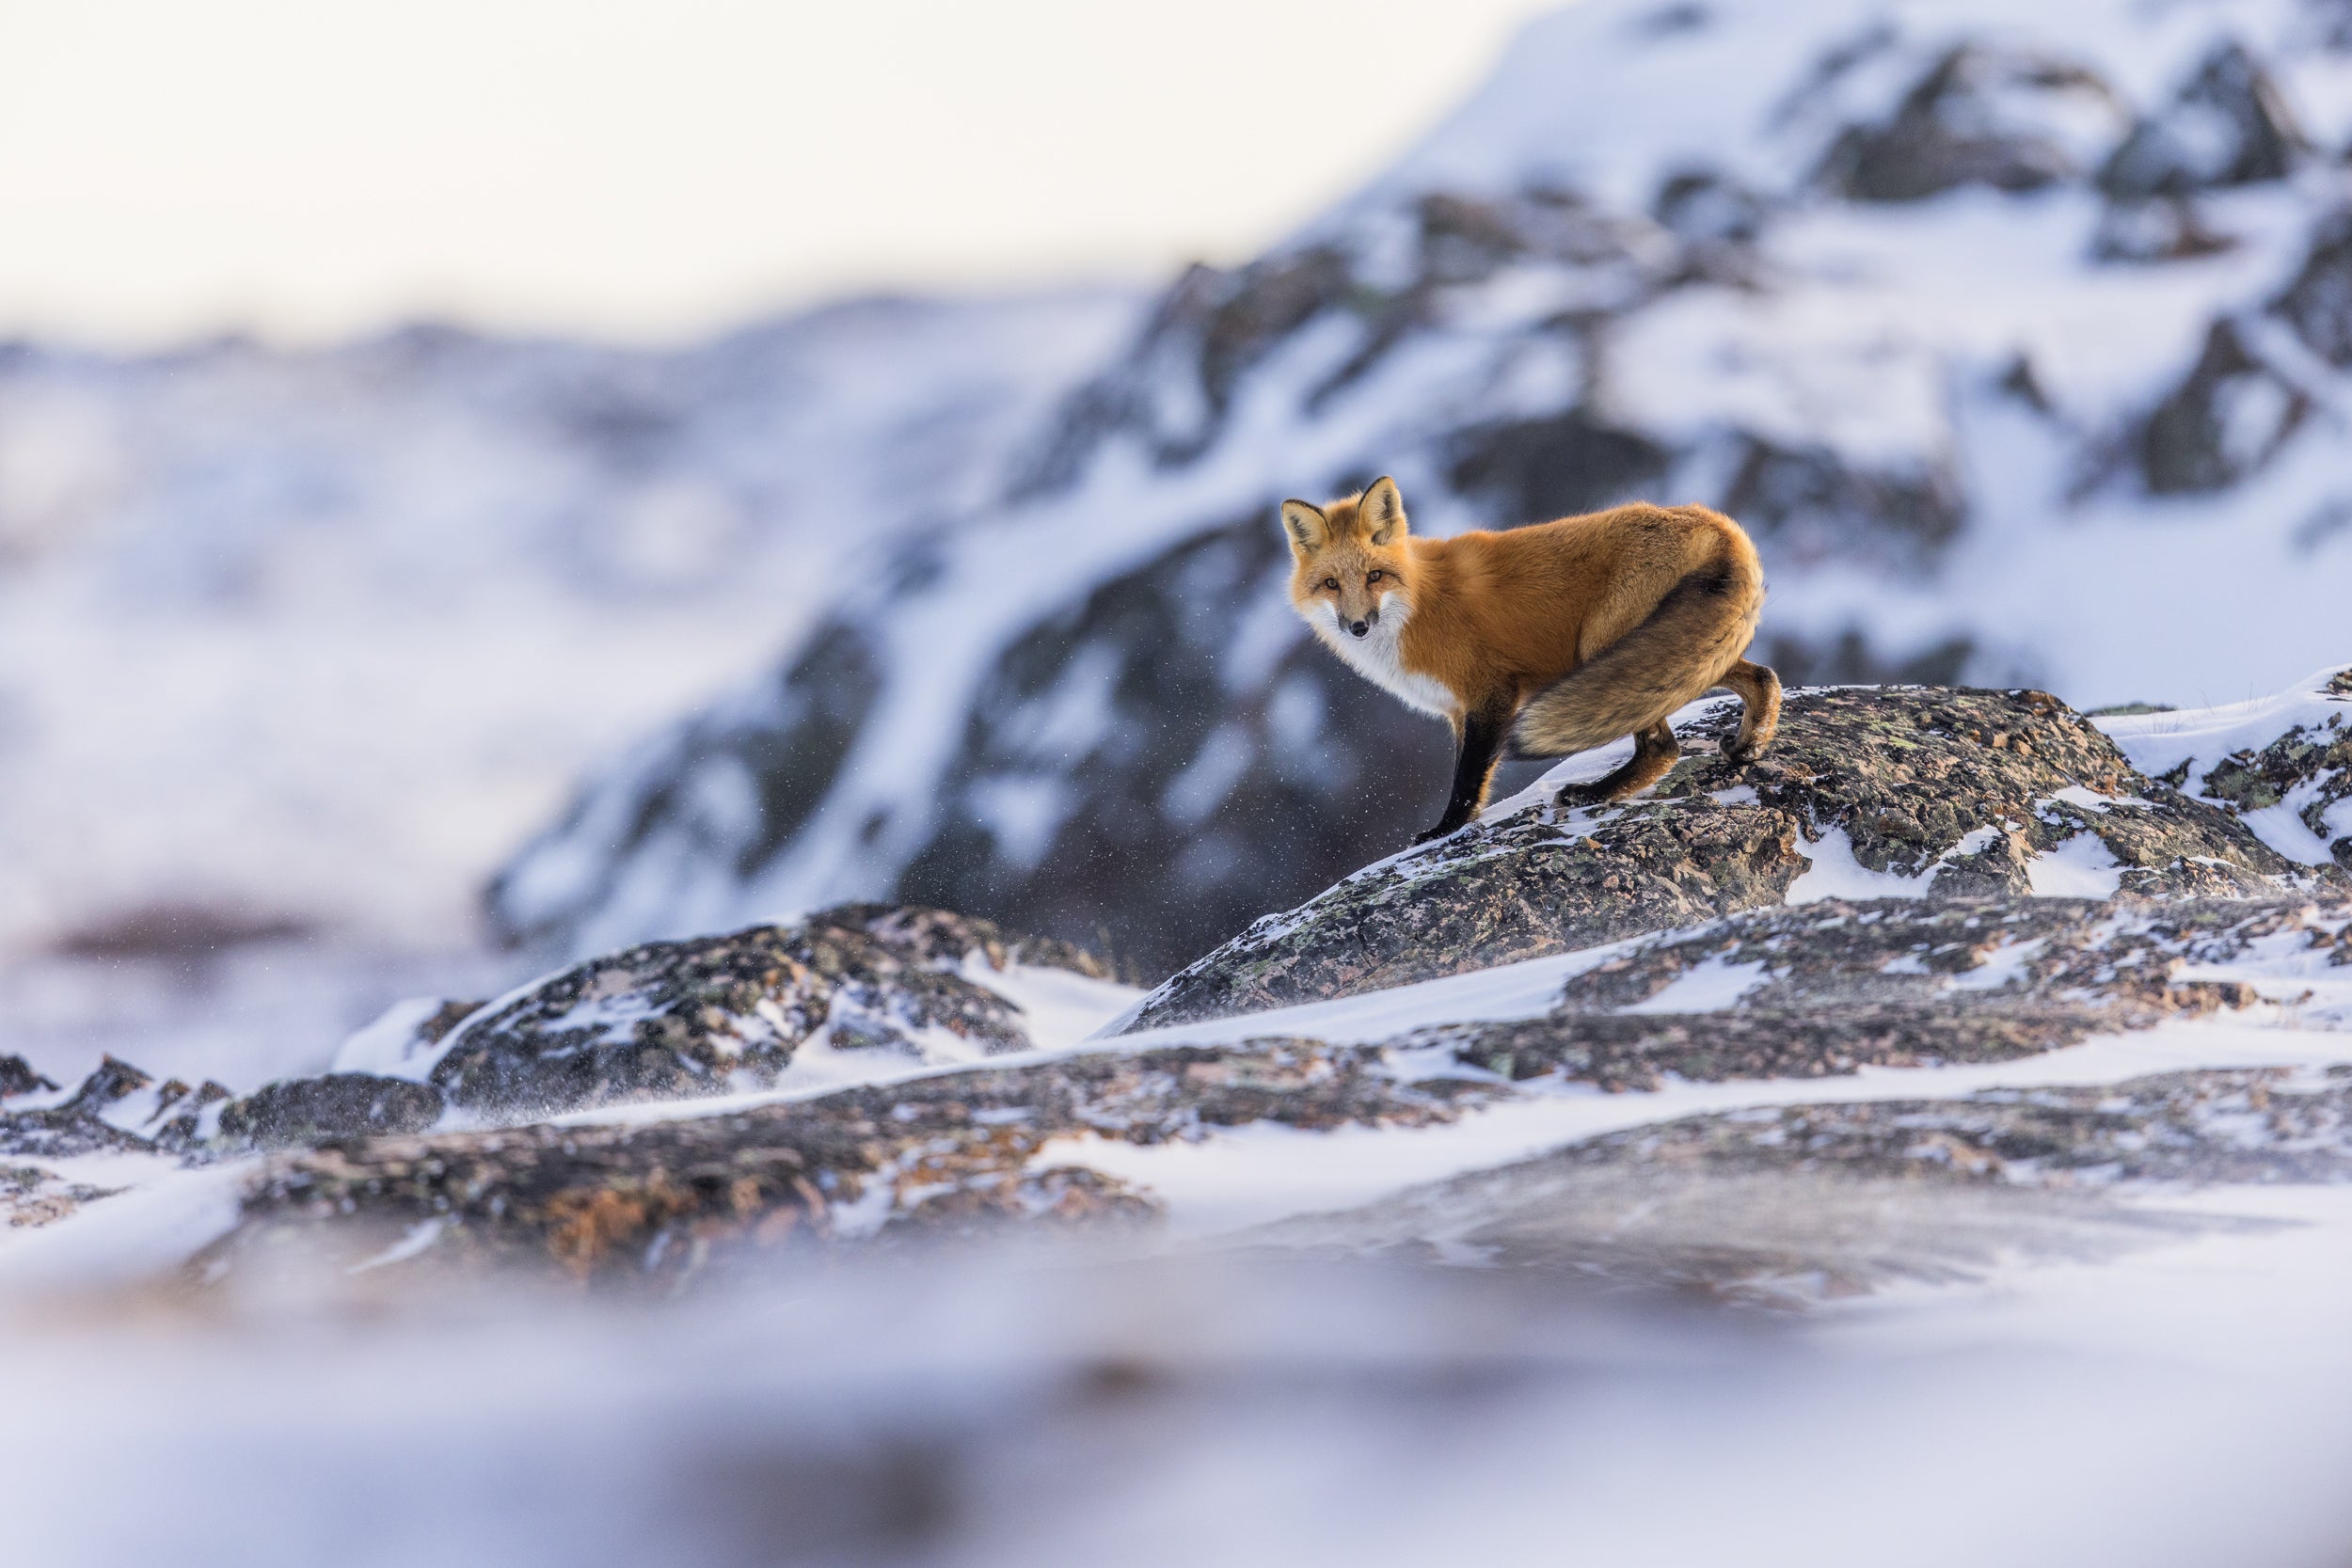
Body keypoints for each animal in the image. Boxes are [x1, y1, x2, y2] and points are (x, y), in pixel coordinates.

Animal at [1281, 476, 1781, 846]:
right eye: (1331, 584)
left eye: (1375, 576)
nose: (1357, 627)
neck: (1418, 605)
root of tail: (1711, 519)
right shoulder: (1461, 710)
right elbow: (1473, 777)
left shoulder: (1491, 693)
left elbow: (1468, 779)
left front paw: (1444, 831)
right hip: (1680, 655)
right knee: (1764, 677)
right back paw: (1746, 746)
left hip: (1609, 648)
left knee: (1662, 748)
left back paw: (1594, 792)